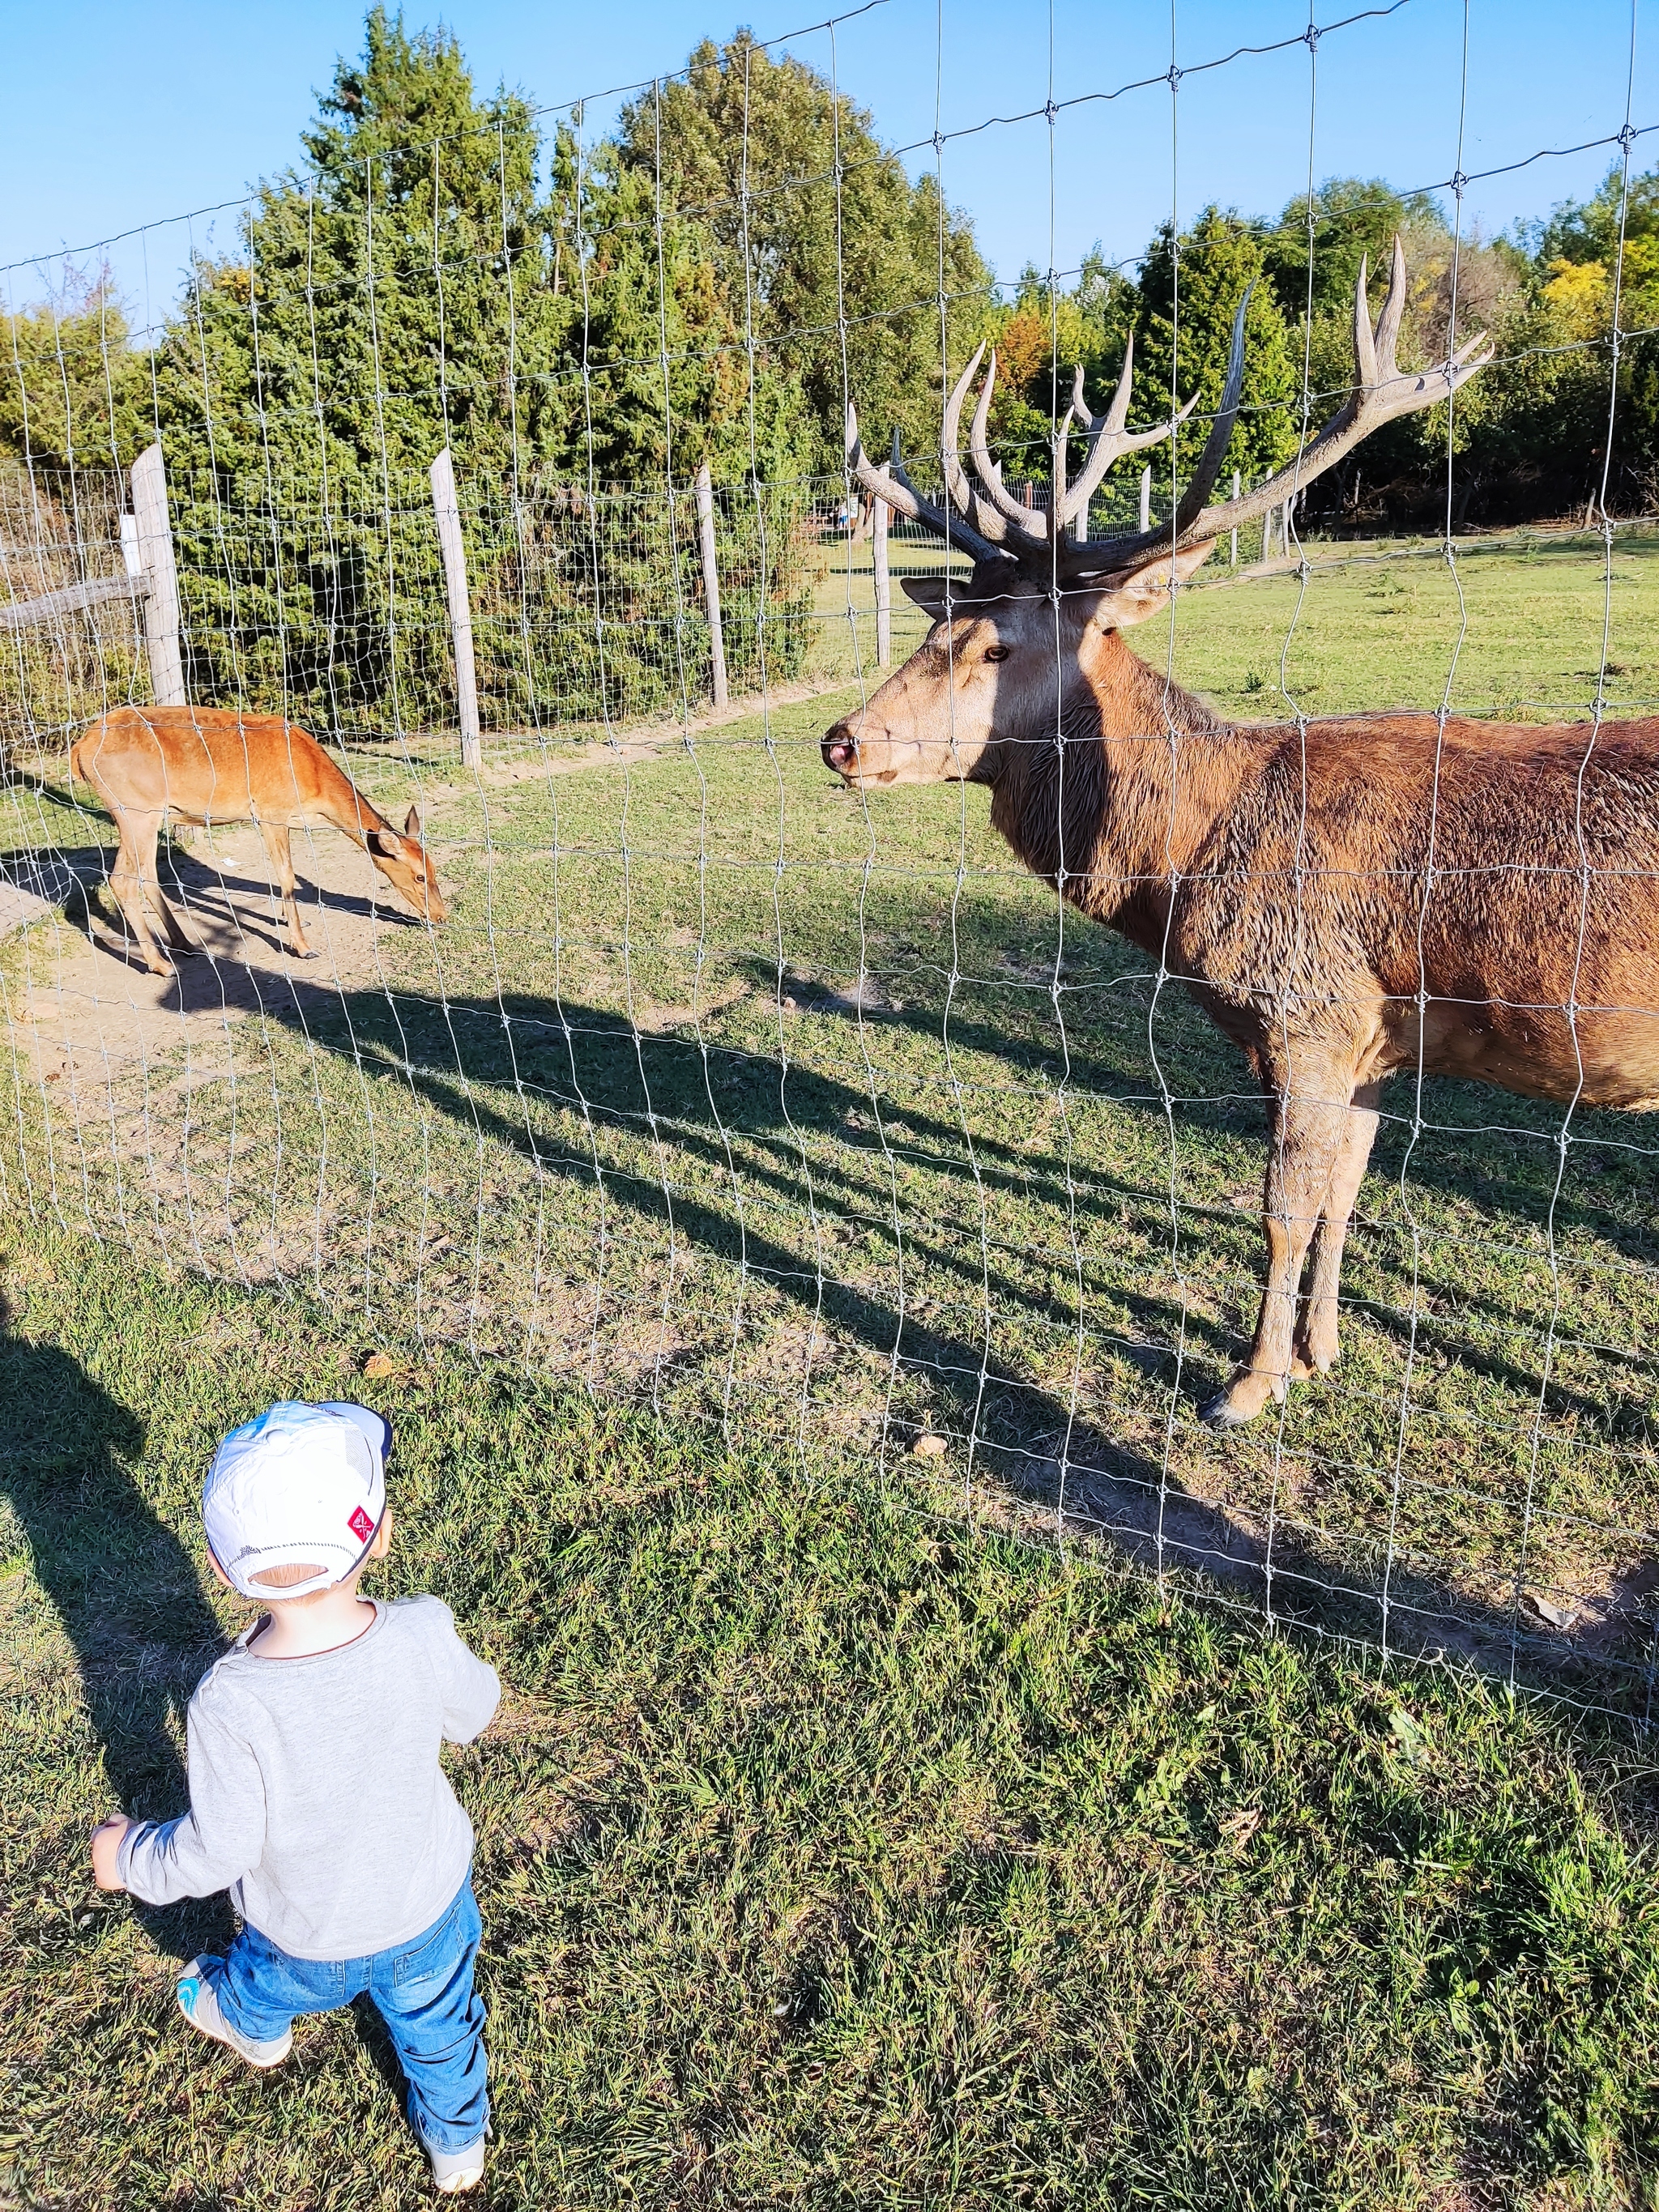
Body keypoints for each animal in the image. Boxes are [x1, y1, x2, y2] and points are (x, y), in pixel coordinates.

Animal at [73, 703, 442, 973]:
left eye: (434, 868)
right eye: (418, 876)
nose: (440, 916)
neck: (314, 786)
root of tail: (79, 752)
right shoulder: (272, 812)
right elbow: (287, 876)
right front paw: (303, 947)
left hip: (144, 816)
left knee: (147, 874)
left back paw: (187, 946)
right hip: (134, 810)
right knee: (122, 879)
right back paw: (161, 965)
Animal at [831, 237, 1659, 1415]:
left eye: (995, 647)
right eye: (933, 626)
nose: (841, 740)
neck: (1182, 867)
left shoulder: (1304, 1006)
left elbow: (1279, 1208)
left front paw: (1248, 1381)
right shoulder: (1370, 1030)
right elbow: (1342, 1197)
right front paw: (1322, 1351)